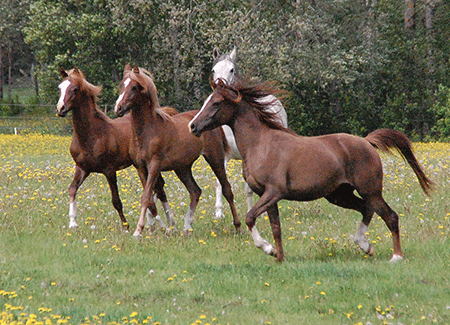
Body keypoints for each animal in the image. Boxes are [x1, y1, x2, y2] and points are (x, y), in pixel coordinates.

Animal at [56, 67, 176, 230]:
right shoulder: (82, 168)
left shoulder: (109, 170)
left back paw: (166, 221)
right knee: (159, 188)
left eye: (74, 89)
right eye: (60, 88)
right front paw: (72, 222)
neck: (92, 136)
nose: (60, 109)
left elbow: (116, 200)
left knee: (158, 189)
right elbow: (72, 189)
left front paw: (126, 226)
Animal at [114, 64, 241, 235]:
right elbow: (150, 200)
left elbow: (146, 197)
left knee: (226, 189)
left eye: (134, 87)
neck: (147, 133)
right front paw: (157, 228)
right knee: (195, 191)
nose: (118, 108)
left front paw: (138, 231)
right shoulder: (140, 168)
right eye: (121, 85)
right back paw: (187, 227)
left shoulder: (154, 166)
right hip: (182, 167)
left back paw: (238, 225)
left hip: (215, 159)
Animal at [211, 46, 288, 218]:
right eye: (213, 70)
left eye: (231, 70)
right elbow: (220, 182)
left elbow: (248, 188)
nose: (220, 87)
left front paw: (253, 211)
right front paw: (218, 213)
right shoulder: (223, 154)